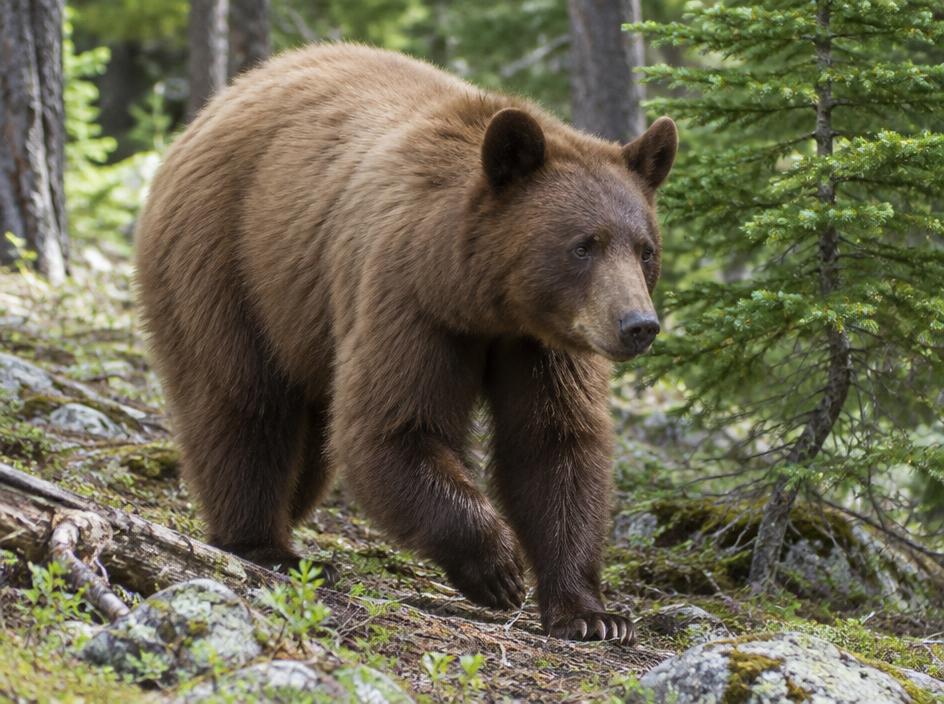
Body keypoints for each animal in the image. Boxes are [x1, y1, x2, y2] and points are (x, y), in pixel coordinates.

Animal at [135, 43, 677, 643]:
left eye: (645, 249)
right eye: (584, 245)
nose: (638, 324)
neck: (483, 299)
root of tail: (216, 104)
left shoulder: (545, 343)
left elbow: (553, 444)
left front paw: (592, 614)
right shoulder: (408, 299)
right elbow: (394, 427)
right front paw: (498, 568)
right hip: (228, 261)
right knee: (243, 403)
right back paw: (264, 545)